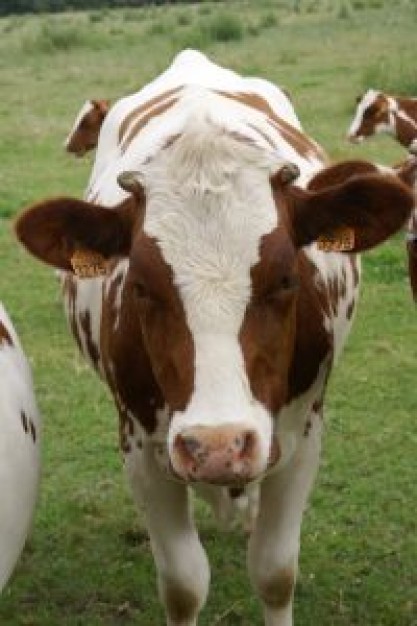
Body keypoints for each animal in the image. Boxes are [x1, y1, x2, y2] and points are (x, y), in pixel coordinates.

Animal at [13, 51, 412, 620]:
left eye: (286, 278)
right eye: (140, 285)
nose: (219, 447)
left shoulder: (303, 436)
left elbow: (275, 573)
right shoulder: (141, 449)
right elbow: (183, 584)